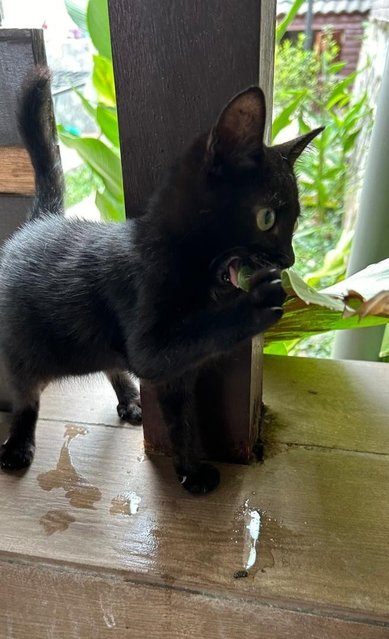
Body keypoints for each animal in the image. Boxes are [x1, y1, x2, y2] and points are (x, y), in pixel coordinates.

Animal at [0, 67, 322, 492]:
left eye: (295, 223)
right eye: (267, 218)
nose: (289, 258)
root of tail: (40, 221)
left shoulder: (178, 374)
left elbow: (181, 420)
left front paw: (189, 470)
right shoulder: (149, 338)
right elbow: (170, 349)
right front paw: (257, 303)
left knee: (111, 366)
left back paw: (130, 400)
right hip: (22, 347)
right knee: (26, 396)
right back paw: (19, 443)